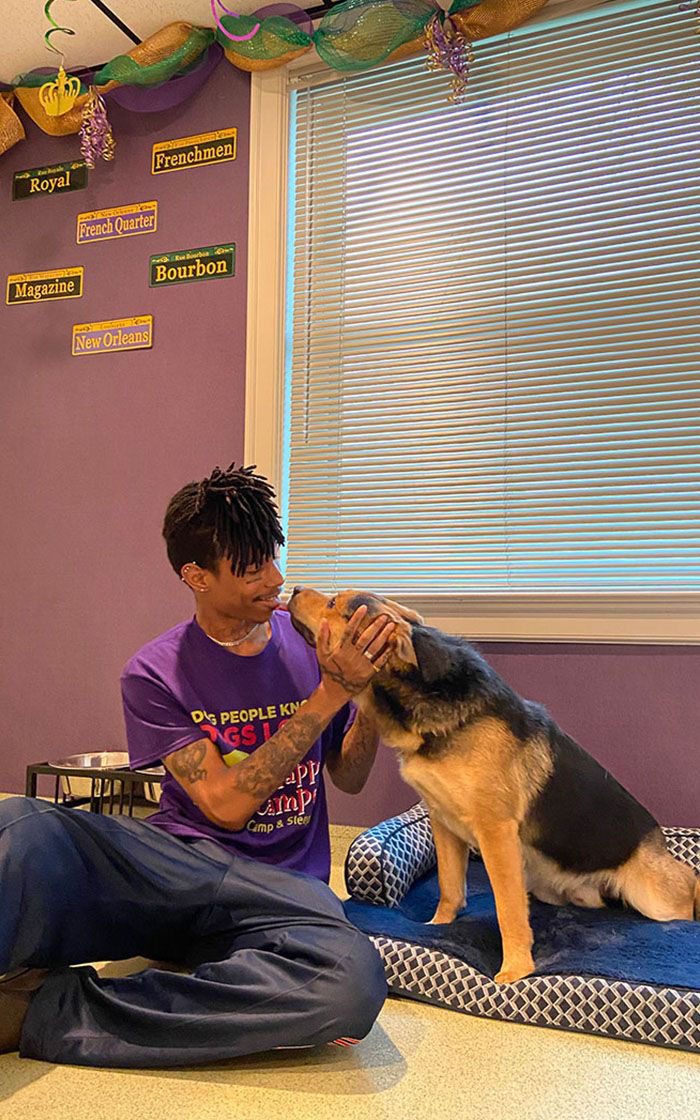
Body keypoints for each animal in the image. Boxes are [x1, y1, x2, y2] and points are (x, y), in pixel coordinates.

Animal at [286, 591, 694, 985]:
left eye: (333, 603)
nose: (293, 589)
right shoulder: (442, 822)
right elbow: (450, 887)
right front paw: (438, 928)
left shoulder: (496, 832)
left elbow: (508, 909)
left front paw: (515, 970)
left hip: (654, 896)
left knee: (689, 894)